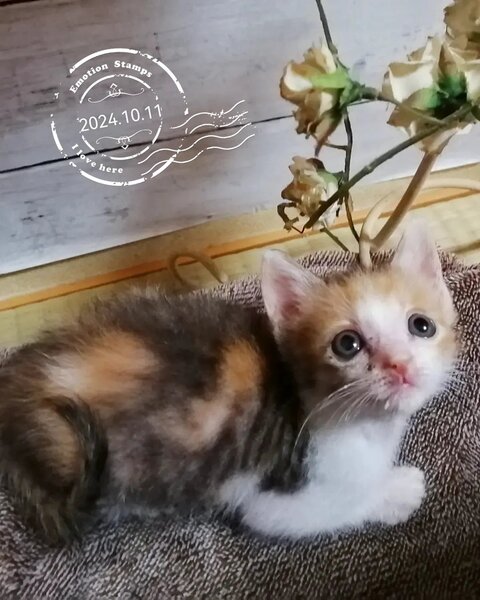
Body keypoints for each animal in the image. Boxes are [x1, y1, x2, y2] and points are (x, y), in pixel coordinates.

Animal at [0, 220, 457, 544]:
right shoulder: (272, 496)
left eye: (421, 326)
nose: (399, 366)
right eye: (348, 344)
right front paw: (396, 492)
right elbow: (338, 506)